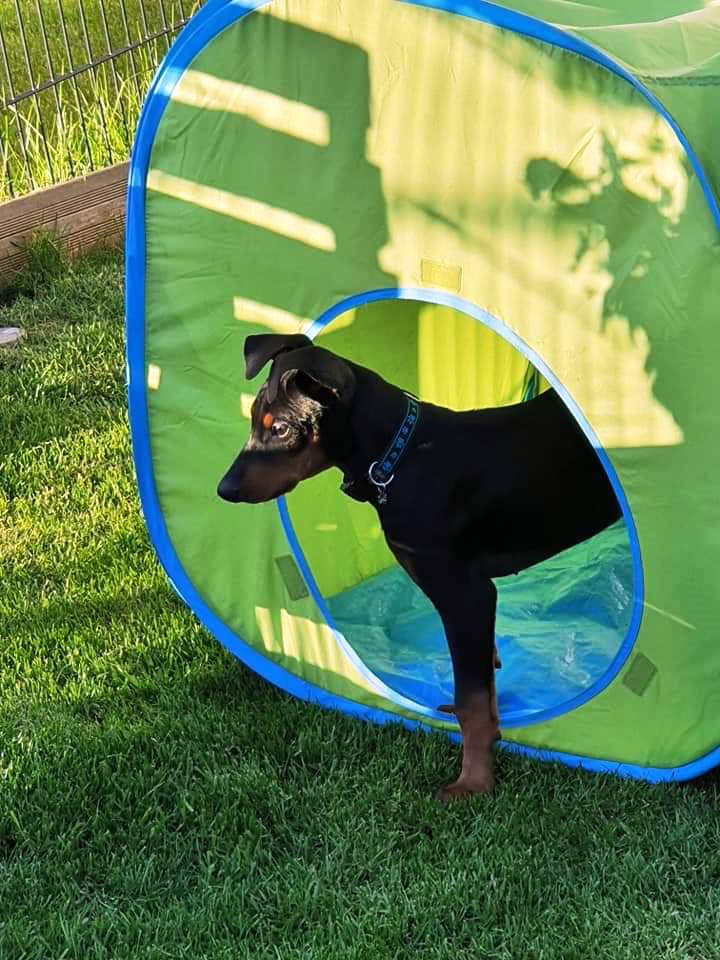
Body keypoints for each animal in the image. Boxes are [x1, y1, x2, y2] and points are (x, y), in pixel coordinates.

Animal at [218, 332, 621, 801]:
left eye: (281, 428)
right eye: (252, 418)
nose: (224, 489)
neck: (398, 458)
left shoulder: (466, 595)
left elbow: (471, 700)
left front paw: (473, 783)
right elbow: (480, 684)